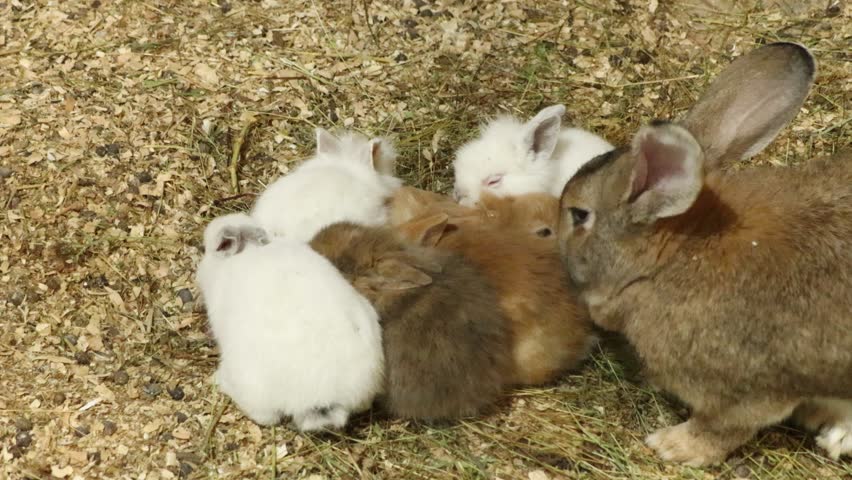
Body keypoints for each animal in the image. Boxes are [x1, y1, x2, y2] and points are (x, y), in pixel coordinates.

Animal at [197, 213, 384, 431]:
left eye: (208, 248)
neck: (250, 250)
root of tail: (324, 396)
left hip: (250, 384)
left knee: (265, 417)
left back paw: (219, 379)